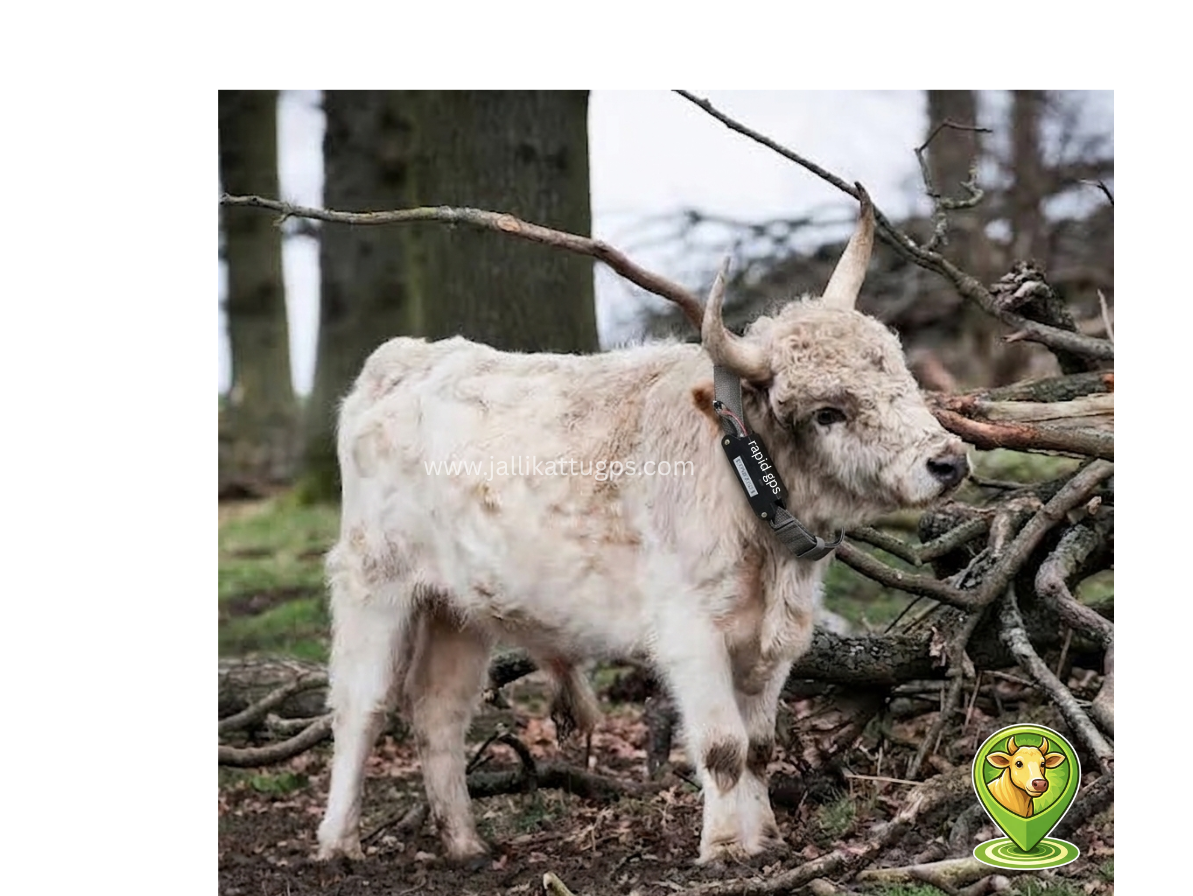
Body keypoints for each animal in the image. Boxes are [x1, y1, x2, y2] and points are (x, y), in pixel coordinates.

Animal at [315, 194, 970, 866]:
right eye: (828, 413)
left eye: (900, 374)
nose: (948, 462)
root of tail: (405, 359)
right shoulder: (690, 634)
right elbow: (723, 747)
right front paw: (725, 849)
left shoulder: (777, 644)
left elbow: (759, 747)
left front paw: (766, 840)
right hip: (375, 581)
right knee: (361, 705)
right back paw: (338, 840)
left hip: (458, 610)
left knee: (438, 712)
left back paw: (465, 842)